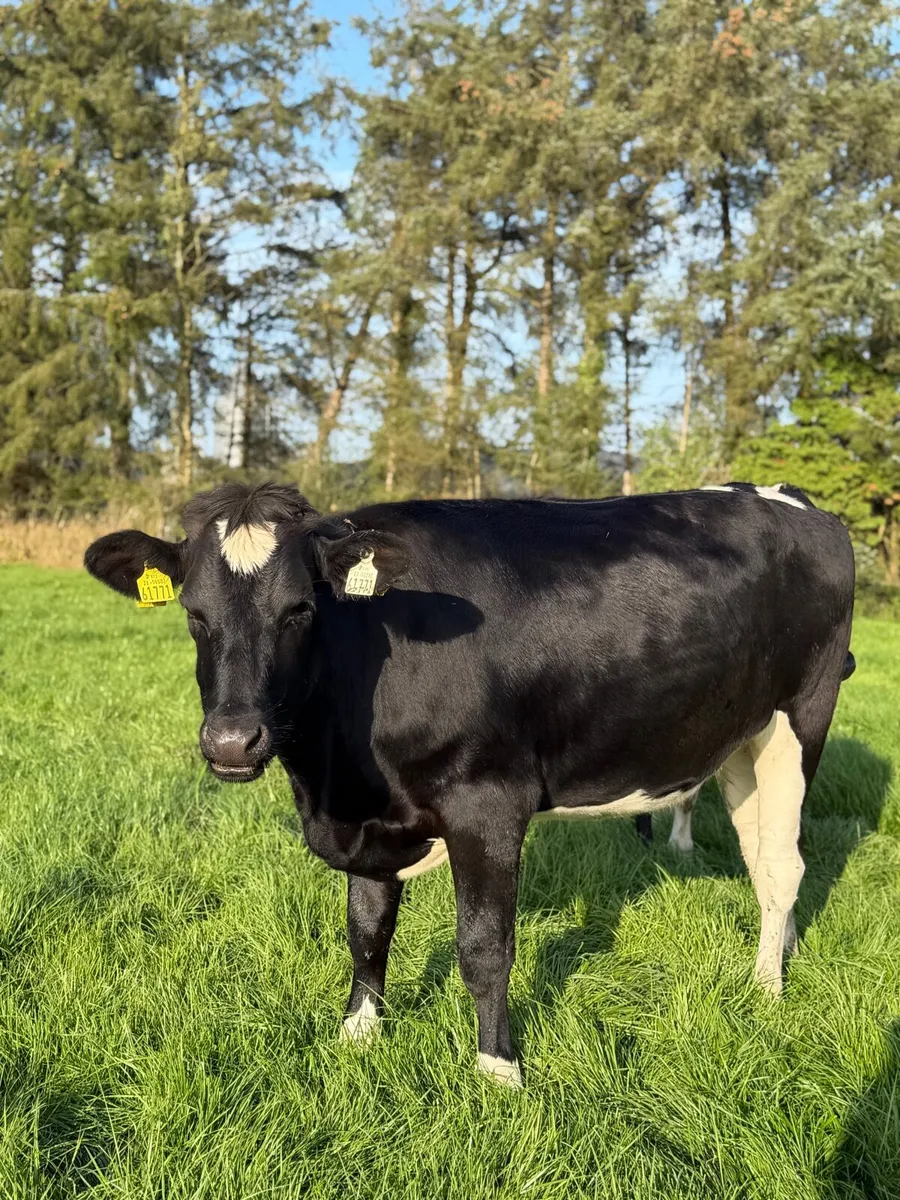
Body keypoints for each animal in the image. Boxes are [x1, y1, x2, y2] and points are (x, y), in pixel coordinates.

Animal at [85, 480, 855, 1088]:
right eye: (193, 612)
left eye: (300, 609)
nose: (231, 742)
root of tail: (787, 499)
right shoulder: (370, 814)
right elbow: (367, 927)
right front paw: (359, 1030)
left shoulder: (488, 803)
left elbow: (485, 945)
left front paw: (499, 1069)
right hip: (739, 740)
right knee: (765, 858)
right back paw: (782, 950)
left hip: (800, 719)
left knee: (784, 865)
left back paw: (766, 988)